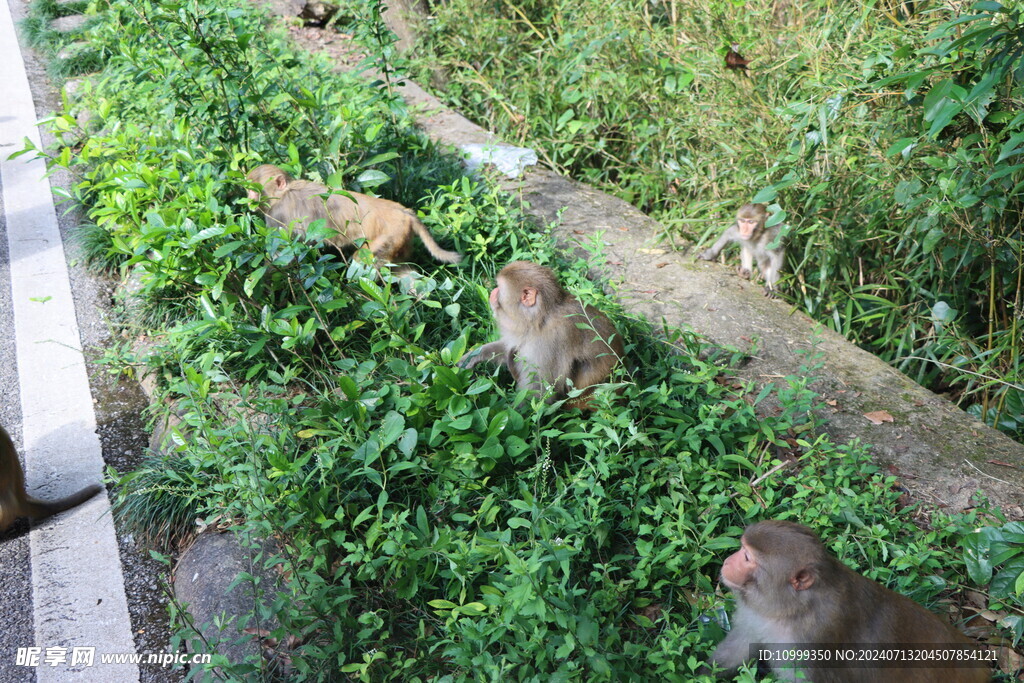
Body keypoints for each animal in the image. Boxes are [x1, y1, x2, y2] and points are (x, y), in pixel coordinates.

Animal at [243, 163, 460, 268]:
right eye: (247, 189)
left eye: (254, 190)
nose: (249, 199)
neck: (284, 193)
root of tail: (403, 211)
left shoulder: (277, 214)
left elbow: (281, 255)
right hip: (401, 240)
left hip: (389, 236)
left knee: (364, 260)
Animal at [458, 262, 618, 411]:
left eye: (499, 288)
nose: (493, 291)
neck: (540, 320)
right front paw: (472, 357)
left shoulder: (553, 341)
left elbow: (542, 389)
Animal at [708, 520, 987, 679]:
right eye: (742, 548)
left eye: (747, 557)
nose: (728, 560)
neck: (794, 608)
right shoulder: (757, 614)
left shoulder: (811, 644)